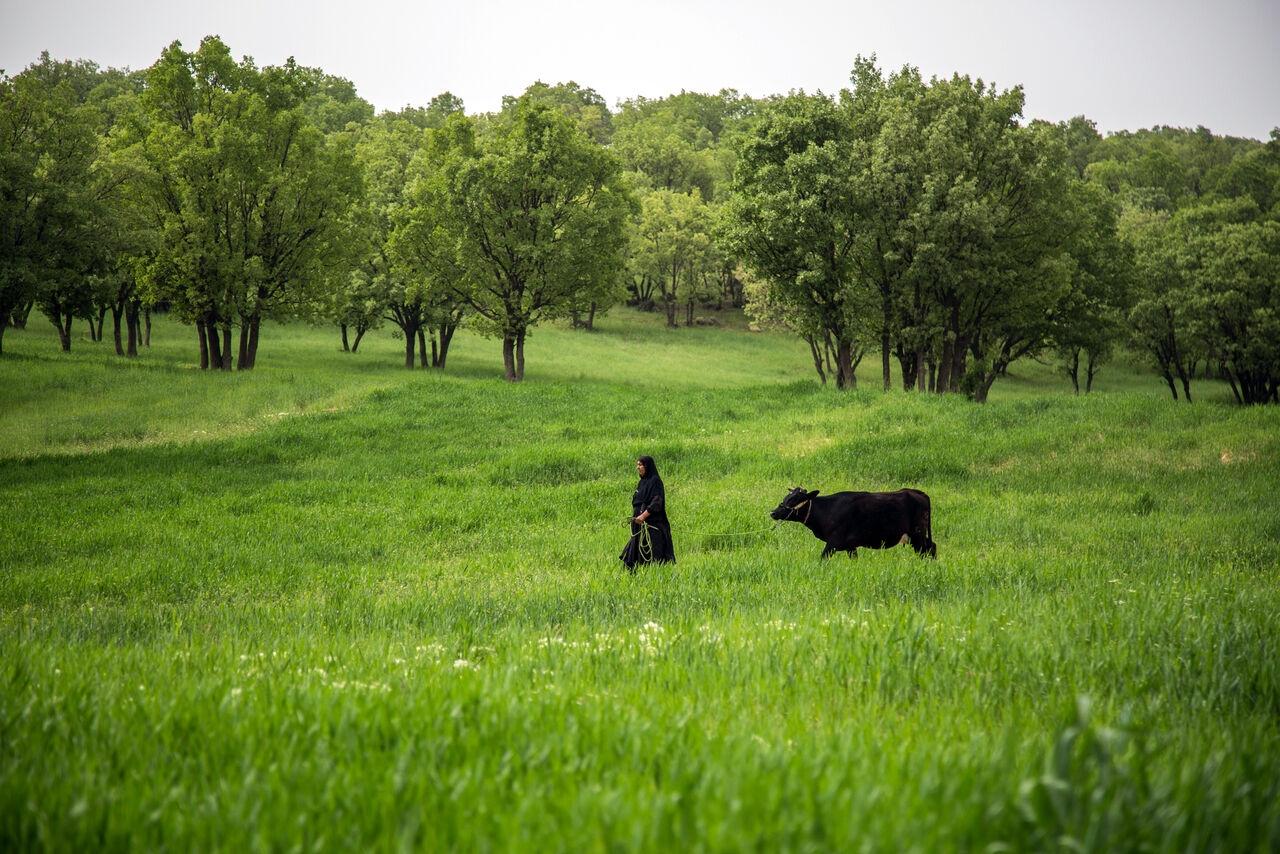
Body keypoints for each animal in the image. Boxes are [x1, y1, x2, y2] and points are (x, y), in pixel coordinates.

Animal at [768, 486, 942, 560]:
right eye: (786, 497)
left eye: (795, 499)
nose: (773, 512)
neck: (827, 510)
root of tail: (916, 492)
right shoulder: (850, 546)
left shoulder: (833, 542)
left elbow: (822, 559)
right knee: (931, 547)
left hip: (917, 534)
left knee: (928, 549)